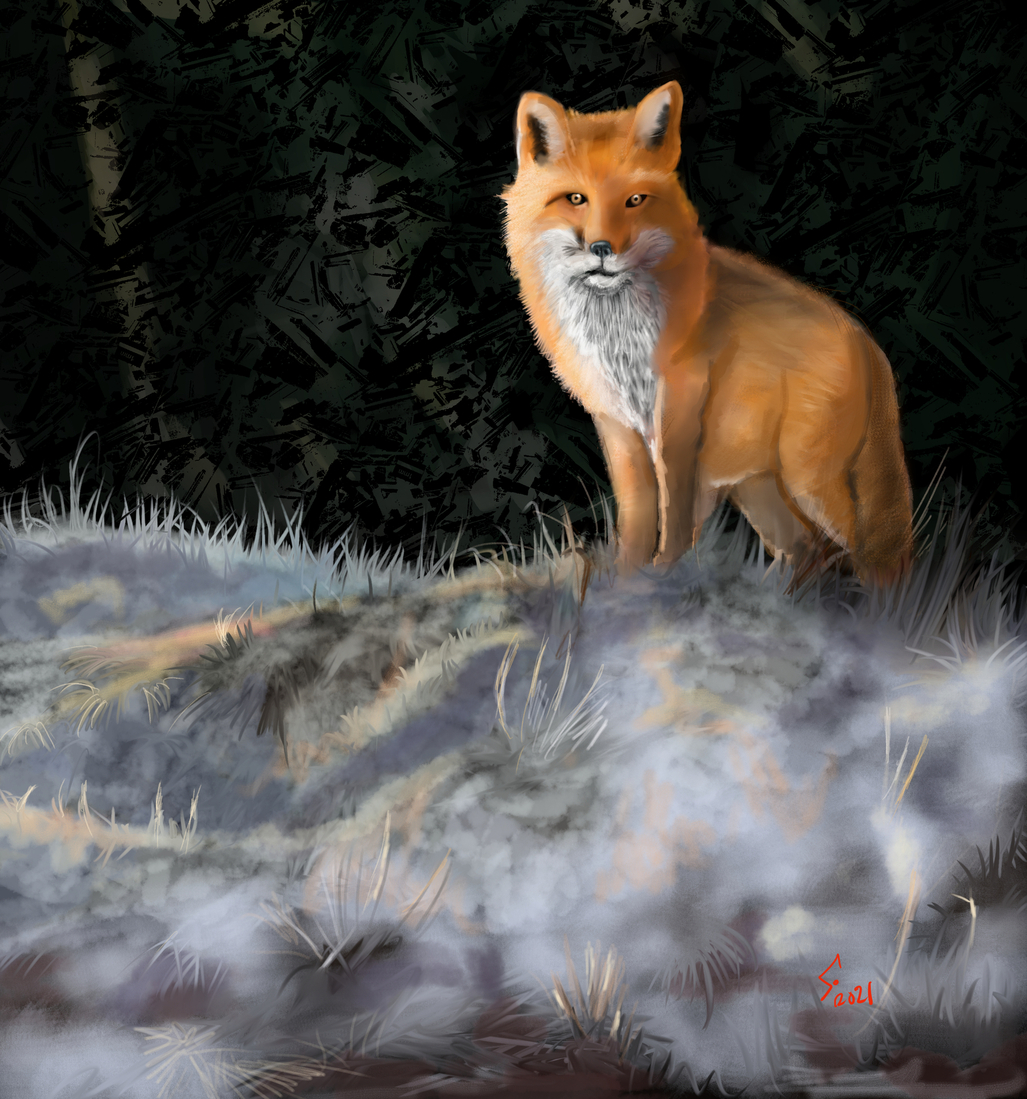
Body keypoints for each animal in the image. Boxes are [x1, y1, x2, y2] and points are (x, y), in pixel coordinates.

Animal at [501, 81, 914, 586]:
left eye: (634, 201)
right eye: (575, 199)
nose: (602, 248)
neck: (618, 339)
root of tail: (868, 342)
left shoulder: (678, 415)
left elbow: (675, 514)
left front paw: (662, 575)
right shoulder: (618, 424)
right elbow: (636, 518)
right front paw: (625, 581)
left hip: (811, 483)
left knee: (874, 560)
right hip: (762, 490)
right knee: (808, 550)